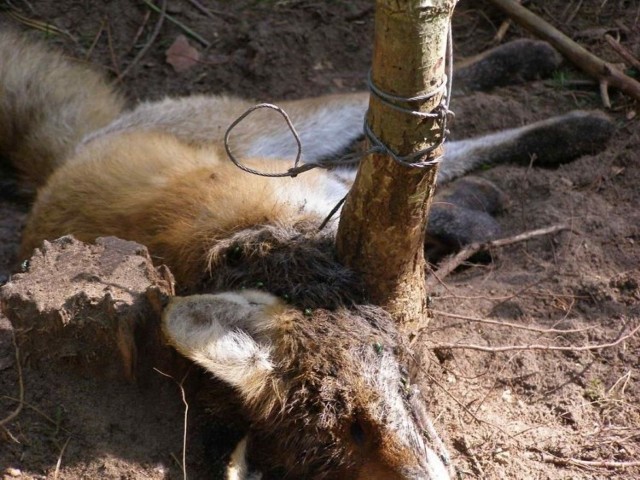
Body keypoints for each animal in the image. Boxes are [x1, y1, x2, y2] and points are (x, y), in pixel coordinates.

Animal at [0, 31, 608, 480]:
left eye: (361, 421)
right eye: (344, 450)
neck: (257, 246)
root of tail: (63, 164)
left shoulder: (314, 197)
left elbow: (424, 164)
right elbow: (428, 185)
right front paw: (473, 209)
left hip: (268, 130)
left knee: (380, 109)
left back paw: (535, 79)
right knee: (387, 139)